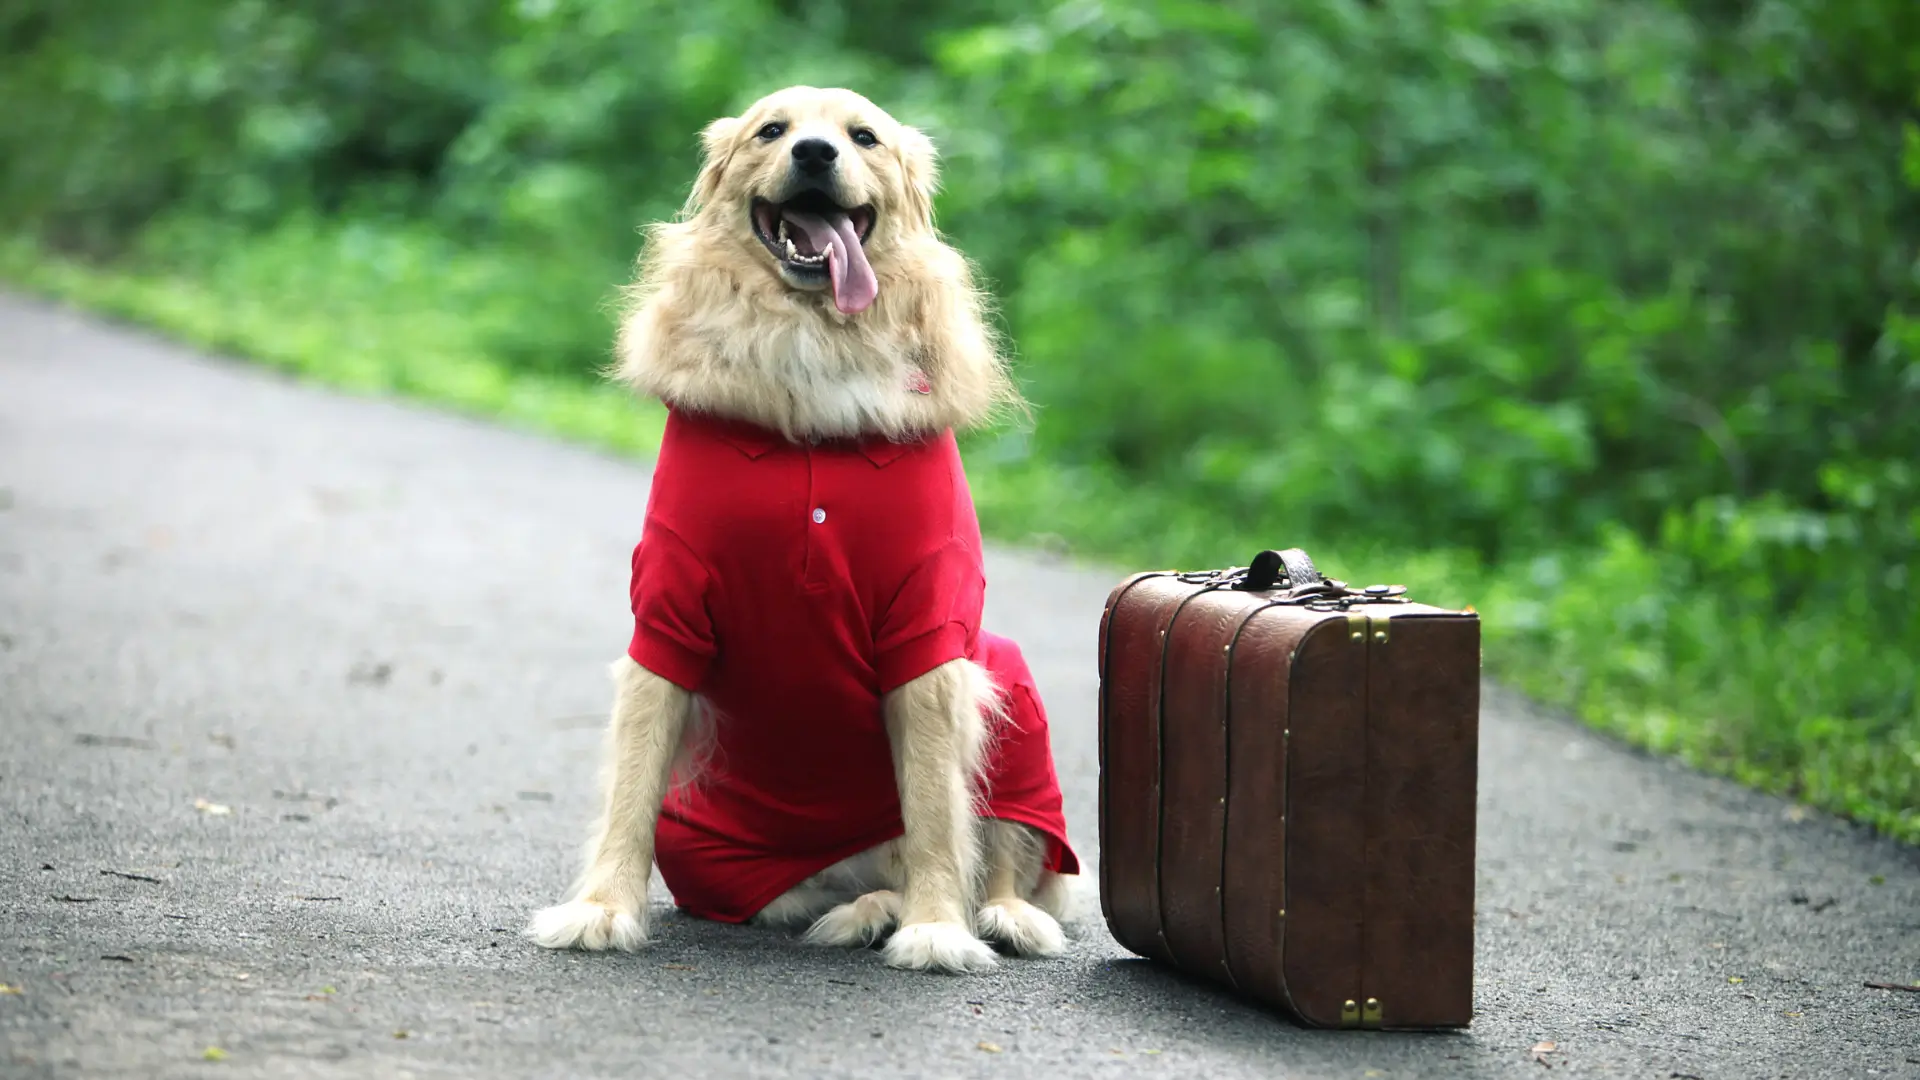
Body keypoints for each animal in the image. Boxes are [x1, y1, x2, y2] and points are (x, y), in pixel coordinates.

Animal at [526, 88, 1082, 972]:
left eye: (864, 137)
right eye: (772, 131)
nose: (816, 154)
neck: (811, 342)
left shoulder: (932, 635)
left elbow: (937, 809)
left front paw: (936, 929)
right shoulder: (665, 621)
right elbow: (631, 789)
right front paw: (601, 909)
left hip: (1009, 684)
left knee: (999, 857)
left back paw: (987, 915)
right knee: (807, 894)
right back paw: (867, 909)